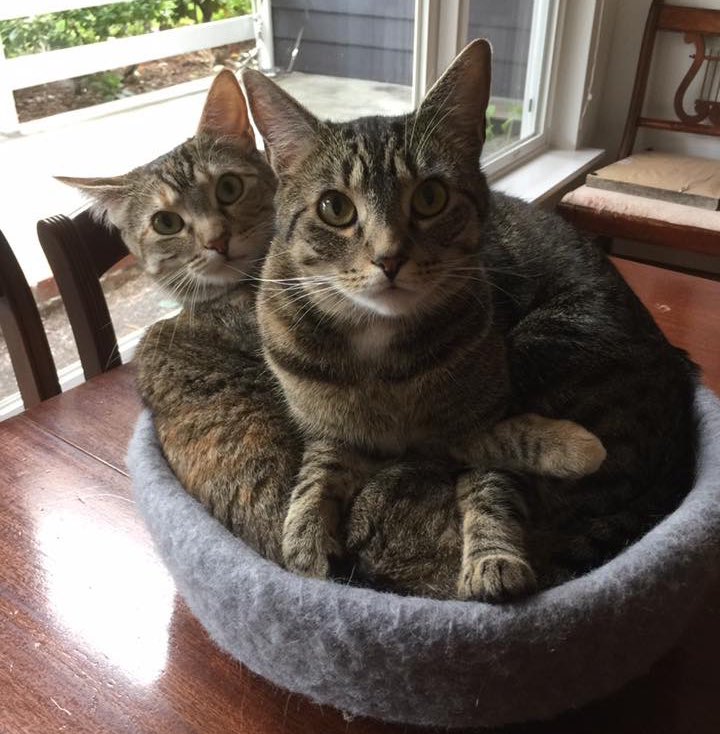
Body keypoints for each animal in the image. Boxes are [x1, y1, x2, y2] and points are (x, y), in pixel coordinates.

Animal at [242, 40, 696, 600]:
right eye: (334, 207)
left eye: (431, 197)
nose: (389, 259)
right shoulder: (330, 430)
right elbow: (317, 472)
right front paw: (305, 538)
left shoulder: (486, 413)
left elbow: (487, 473)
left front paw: (493, 554)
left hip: (547, 341)